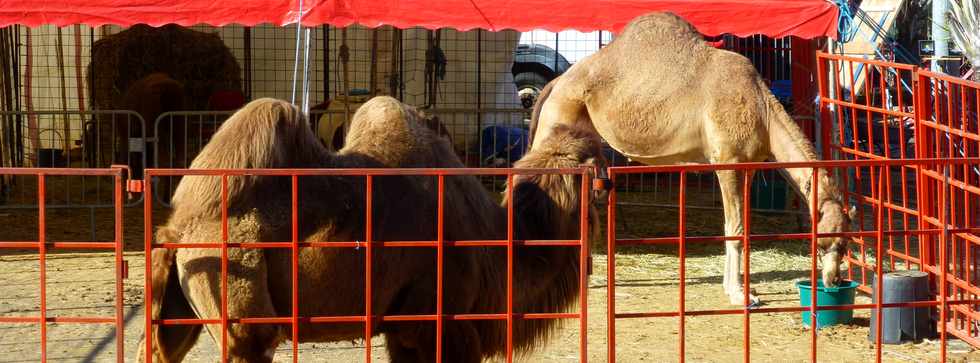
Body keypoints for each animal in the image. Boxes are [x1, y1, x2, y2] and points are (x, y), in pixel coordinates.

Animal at [136, 95, 596, 362]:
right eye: (600, 170)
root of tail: (174, 231)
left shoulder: (404, 329)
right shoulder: (442, 322)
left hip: (182, 302)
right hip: (234, 284)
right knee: (250, 340)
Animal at [528, 12, 856, 308]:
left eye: (846, 242)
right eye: (824, 240)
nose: (834, 280)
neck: (763, 108)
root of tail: (556, 82)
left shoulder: (749, 166)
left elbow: (740, 226)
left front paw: (736, 288)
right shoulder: (728, 161)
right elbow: (735, 228)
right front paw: (740, 296)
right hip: (558, 120)